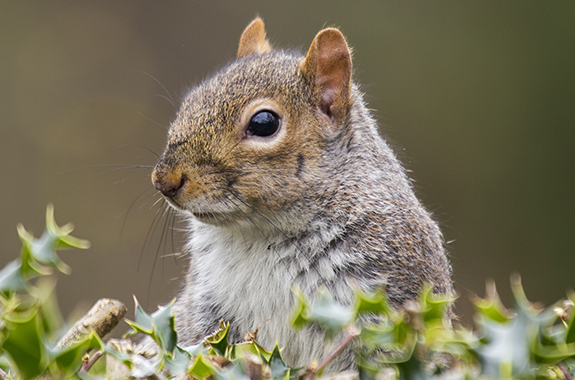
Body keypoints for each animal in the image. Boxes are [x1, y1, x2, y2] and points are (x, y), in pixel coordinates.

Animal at [152, 17, 454, 372]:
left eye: (264, 123)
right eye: (190, 101)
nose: (164, 180)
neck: (261, 234)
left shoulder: (396, 293)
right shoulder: (204, 308)